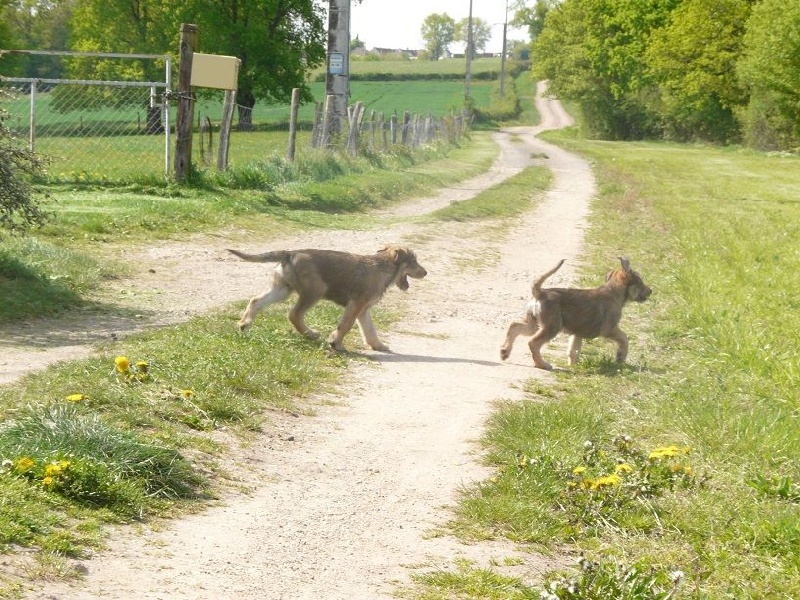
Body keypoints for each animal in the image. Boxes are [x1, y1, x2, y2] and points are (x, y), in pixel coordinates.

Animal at [227, 245, 424, 352]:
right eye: (414, 262)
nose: (426, 272)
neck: (383, 267)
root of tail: (290, 253)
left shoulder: (364, 310)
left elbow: (369, 330)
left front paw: (378, 346)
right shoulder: (357, 304)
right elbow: (346, 325)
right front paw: (336, 343)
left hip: (282, 289)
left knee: (256, 301)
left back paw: (244, 325)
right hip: (315, 291)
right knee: (294, 314)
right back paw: (311, 334)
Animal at [500, 258, 648, 370]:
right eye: (640, 283)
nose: (650, 291)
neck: (614, 292)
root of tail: (540, 293)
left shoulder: (577, 333)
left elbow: (573, 350)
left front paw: (573, 366)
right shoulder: (609, 328)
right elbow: (624, 339)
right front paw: (620, 357)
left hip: (535, 323)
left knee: (514, 326)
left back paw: (504, 352)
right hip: (552, 326)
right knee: (533, 343)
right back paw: (543, 364)